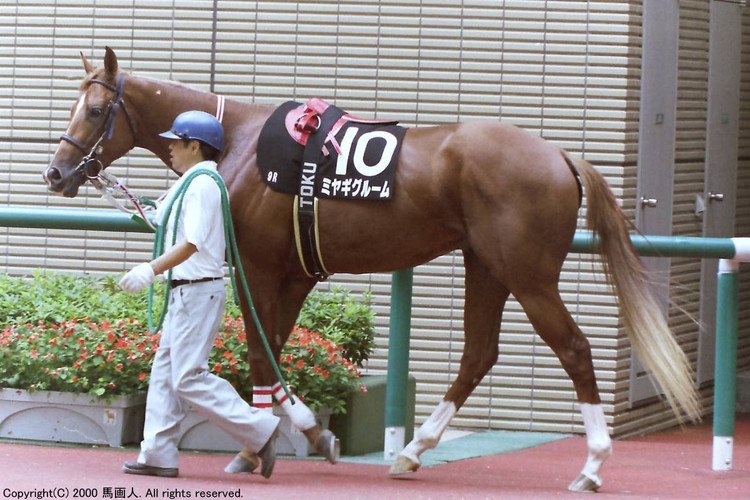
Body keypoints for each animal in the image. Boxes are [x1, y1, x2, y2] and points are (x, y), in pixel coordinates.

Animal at [42, 48, 700, 490]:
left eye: (95, 109)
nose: (55, 172)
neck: (239, 143)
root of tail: (560, 155)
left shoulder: (258, 267)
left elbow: (259, 349)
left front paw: (297, 435)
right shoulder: (294, 274)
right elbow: (276, 347)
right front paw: (264, 441)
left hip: (528, 274)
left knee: (574, 349)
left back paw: (591, 464)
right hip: (486, 265)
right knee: (478, 353)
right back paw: (413, 451)